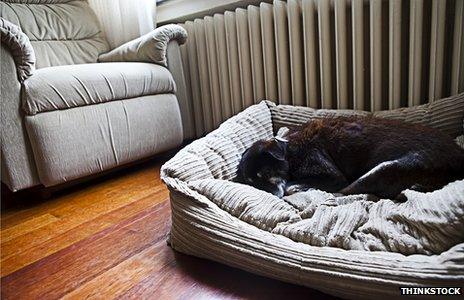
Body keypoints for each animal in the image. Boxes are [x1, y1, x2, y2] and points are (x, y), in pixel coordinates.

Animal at [236, 116, 464, 199]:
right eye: (250, 182)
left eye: (266, 173)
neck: (290, 150)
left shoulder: (333, 176)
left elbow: (296, 183)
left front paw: (297, 186)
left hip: (385, 168)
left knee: (345, 191)